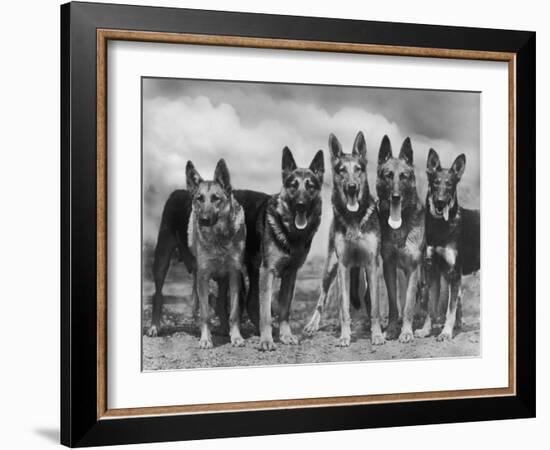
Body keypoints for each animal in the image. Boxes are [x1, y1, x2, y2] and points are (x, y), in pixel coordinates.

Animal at [146, 185, 268, 338]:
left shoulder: (231, 272)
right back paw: (154, 327)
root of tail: (177, 192)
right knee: (157, 293)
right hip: (162, 256)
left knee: (219, 303)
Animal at [258, 146, 326, 350]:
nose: (301, 205)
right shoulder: (267, 272)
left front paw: (286, 335)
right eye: (293, 185)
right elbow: (265, 312)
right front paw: (266, 340)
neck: (291, 234)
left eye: (310, 186)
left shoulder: (291, 275)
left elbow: (285, 310)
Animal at [304, 132, 386, 346]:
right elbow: (344, 307)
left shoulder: (372, 264)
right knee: (322, 298)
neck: (354, 217)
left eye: (358, 169)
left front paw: (377, 334)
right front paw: (344, 336)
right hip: (330, 268)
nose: (352, 187)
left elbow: (375, 306)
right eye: (342, 170)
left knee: (366, 298)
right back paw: (313, 324)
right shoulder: (343, 266)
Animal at [378, 135, 430, 342]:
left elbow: (408, 305)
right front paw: (393, 329)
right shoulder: (389, 267)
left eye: (404, 176)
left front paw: (406, 332)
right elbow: (394, 303)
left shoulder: (414, 268)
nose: (396, 197)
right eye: (388, 175)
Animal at [416, 149, 480, 342]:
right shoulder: (433, 271)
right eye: (435, 183)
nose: (440, 202)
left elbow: (450, 310)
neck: (441, 227)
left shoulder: (454, 273)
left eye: (450, 185)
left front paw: (445, 332)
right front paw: (426, 330)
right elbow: (431, 306)